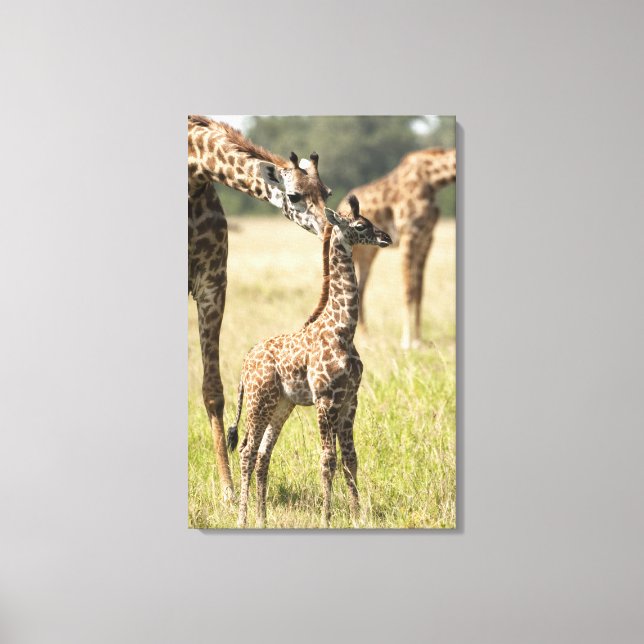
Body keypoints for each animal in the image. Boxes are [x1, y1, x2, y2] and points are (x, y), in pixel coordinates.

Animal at [188, 115, 332, 502]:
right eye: (294, 195)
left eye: (326, 192)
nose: (330, 228)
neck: (193, 174)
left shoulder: (212, 283)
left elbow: (213, 391)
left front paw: (228, 490)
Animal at [227, 195, 392, 528]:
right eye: (360, 226)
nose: (386, 238)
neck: (344, 329)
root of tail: (245, 362)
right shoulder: (325, 399)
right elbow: (327, 459)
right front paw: (327, 518)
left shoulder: (350, 399)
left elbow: (350, 458)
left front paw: (357, 517)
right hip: (258, 400)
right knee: (247, 450)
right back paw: (242, 519)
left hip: (281, 405)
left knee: (263, 454)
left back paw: (262, 519)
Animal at [344, 148, 456, 349]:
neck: (433, 180)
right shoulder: (408, 235)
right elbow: (408, 290)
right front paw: (406, 341)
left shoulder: (427, 238)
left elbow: (419, 291)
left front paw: (418, 340)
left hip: (368, 252)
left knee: (360, 288)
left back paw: (365, 336)